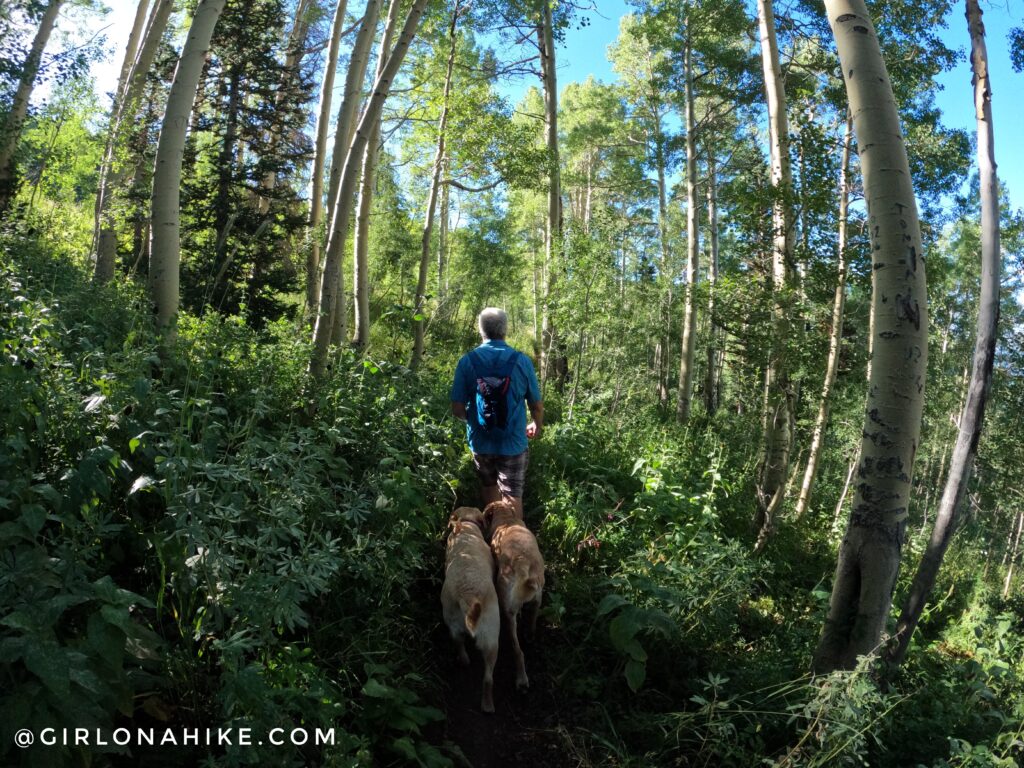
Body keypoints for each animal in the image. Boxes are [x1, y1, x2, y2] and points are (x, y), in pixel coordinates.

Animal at [442, 505, 501, 716]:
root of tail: (467, 596)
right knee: (488, 678)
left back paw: (464, 660)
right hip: (492, 639)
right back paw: (488, 705)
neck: (465, 527)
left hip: (451, 621)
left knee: (458, 643)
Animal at [485, 501, 544, 696]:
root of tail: (524, 565)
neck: (507, 520)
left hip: (507, 610)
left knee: (518, 651)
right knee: (533, 617)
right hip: (538, 598)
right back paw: (530, 634)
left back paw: (521, 680)